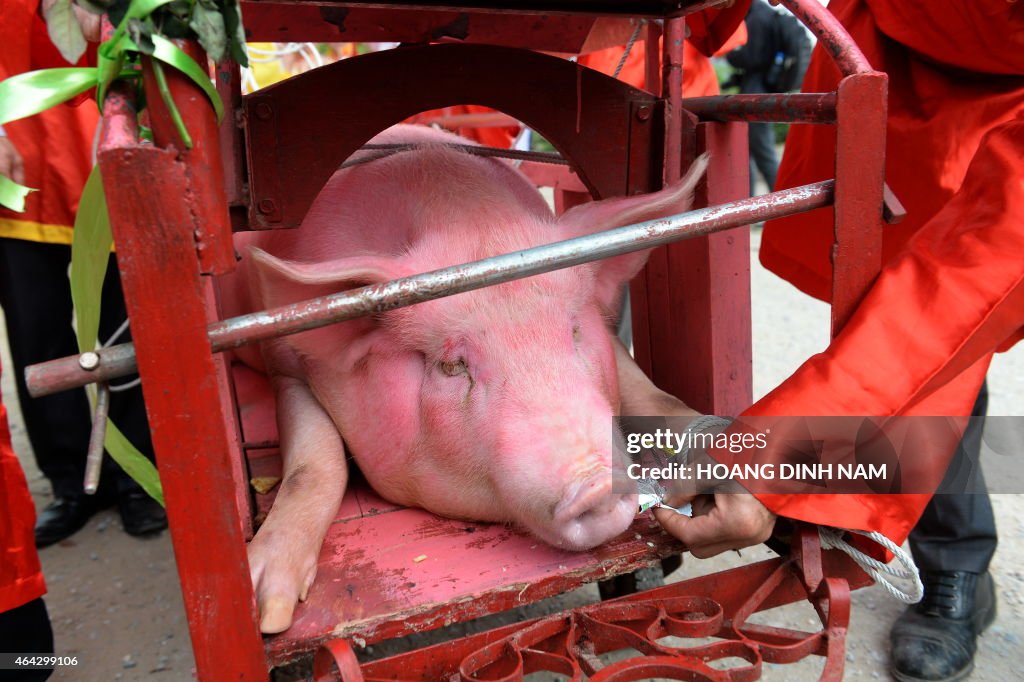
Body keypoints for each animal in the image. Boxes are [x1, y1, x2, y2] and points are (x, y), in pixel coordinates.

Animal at [230, 124, 712, 630]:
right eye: (451, 365)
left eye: (575, 331)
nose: (597, 485)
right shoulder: (284, 366)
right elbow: (316, 460)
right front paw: (270, 615)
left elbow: (653, 394)